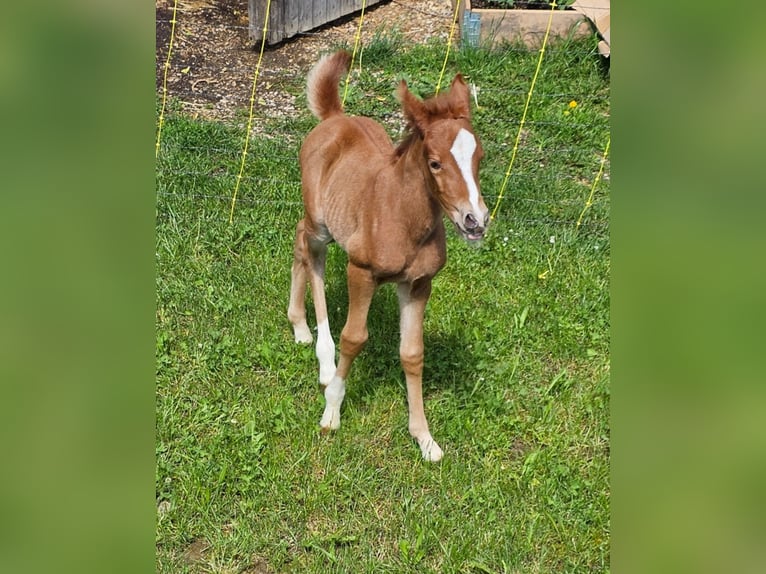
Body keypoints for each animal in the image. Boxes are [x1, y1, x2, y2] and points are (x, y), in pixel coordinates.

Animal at [288, 50, 492, 464]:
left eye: (478, 156)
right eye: (434, 162)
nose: (475, 221)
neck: (403, 217)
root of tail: (335, 117)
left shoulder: (418, 284)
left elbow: (412, 353)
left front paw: (425, 438)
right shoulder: (361, 272)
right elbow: (354, 338)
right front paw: (331, 411)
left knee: (301, 246)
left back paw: (301, 329)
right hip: (320, 223)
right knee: (308, 251)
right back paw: (318, 351)